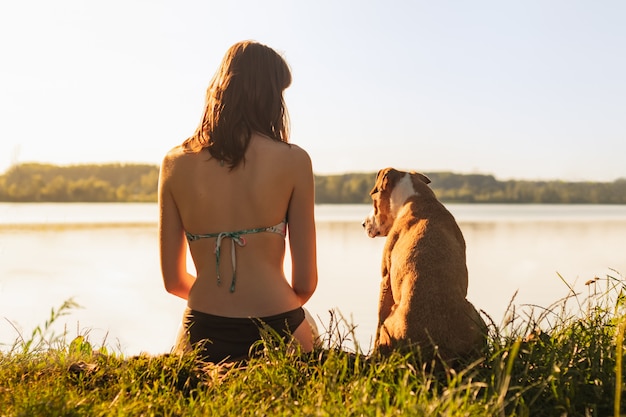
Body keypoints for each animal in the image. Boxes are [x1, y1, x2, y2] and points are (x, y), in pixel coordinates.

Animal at [364, 167, 486, 362]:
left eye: (373, 198)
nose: (363, 224)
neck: (416, 198)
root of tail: (438, 350)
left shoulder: (385, 279)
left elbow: (379, 318)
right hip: (477, 316)